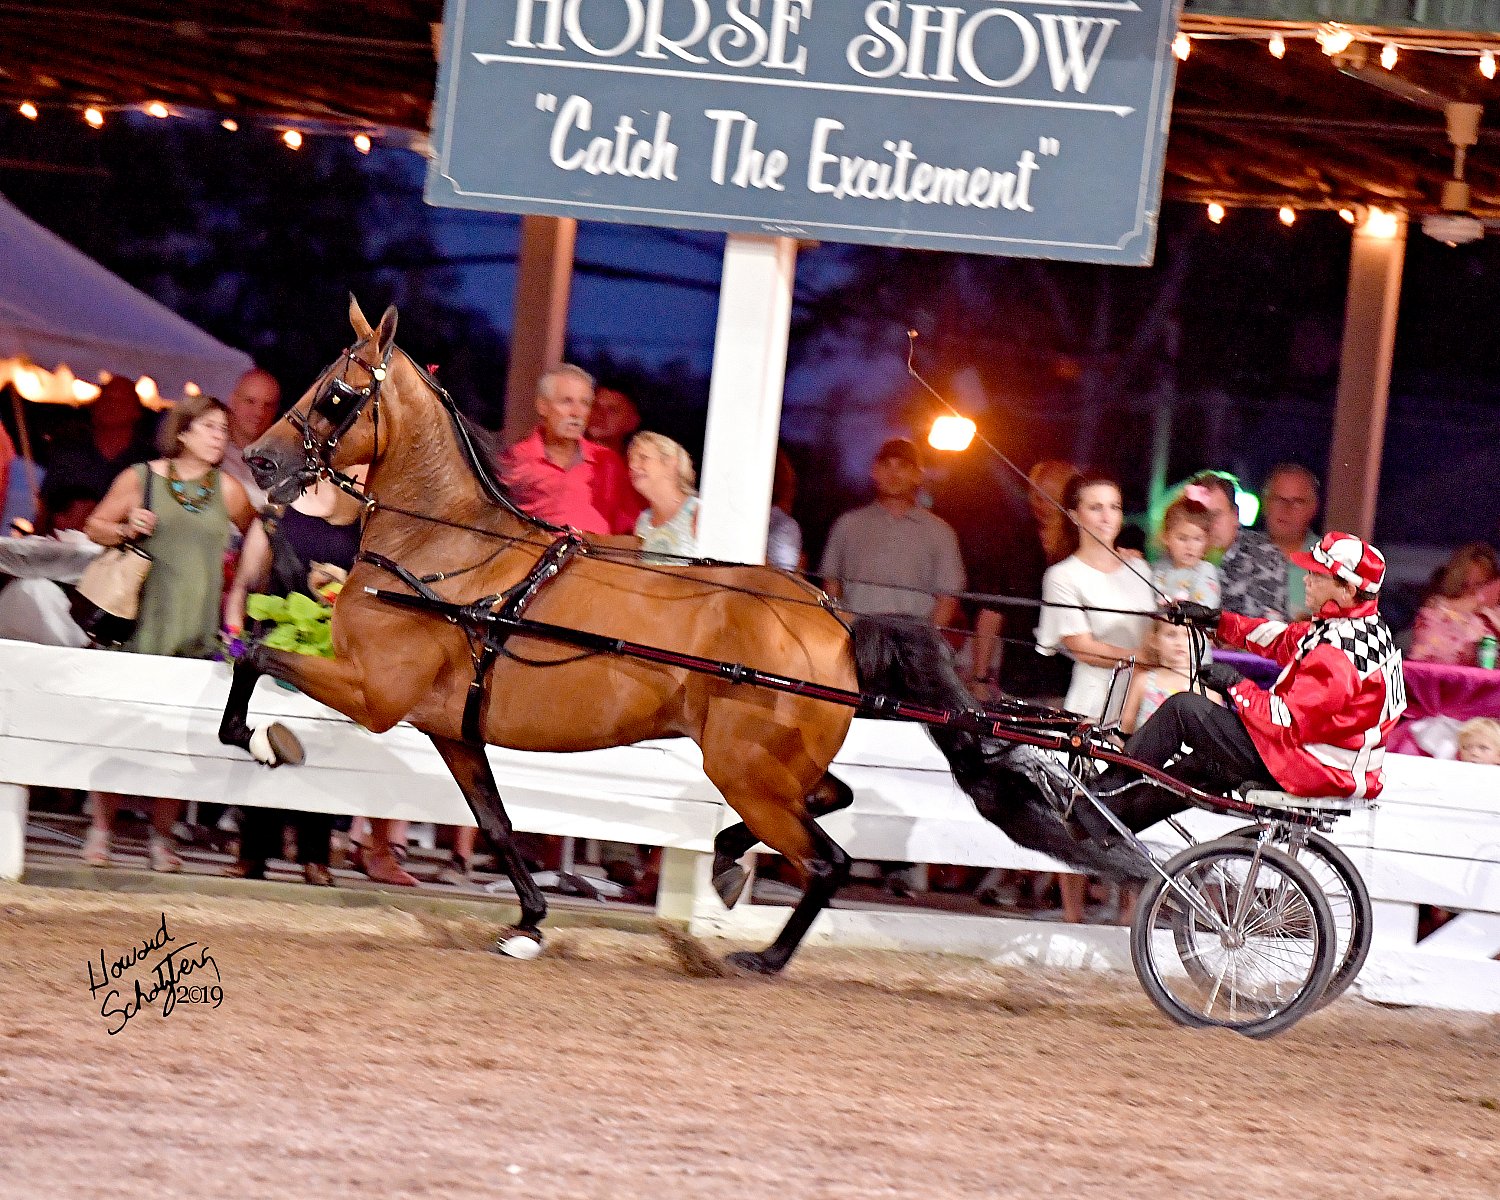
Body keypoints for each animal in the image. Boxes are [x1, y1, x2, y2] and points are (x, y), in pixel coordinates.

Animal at [217, 300, 864, 972]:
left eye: (337, 395)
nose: (260, 459)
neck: (443, 551)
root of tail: (828, 618)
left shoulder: (373, 695)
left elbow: (255, 653)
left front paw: (263, 741)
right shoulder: (453, 731)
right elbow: (497, 824)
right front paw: (528, 922)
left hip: (745, 771)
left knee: (828, 861)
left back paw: (765, 956)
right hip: (774, 769)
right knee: (831, 801)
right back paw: (730, 860)